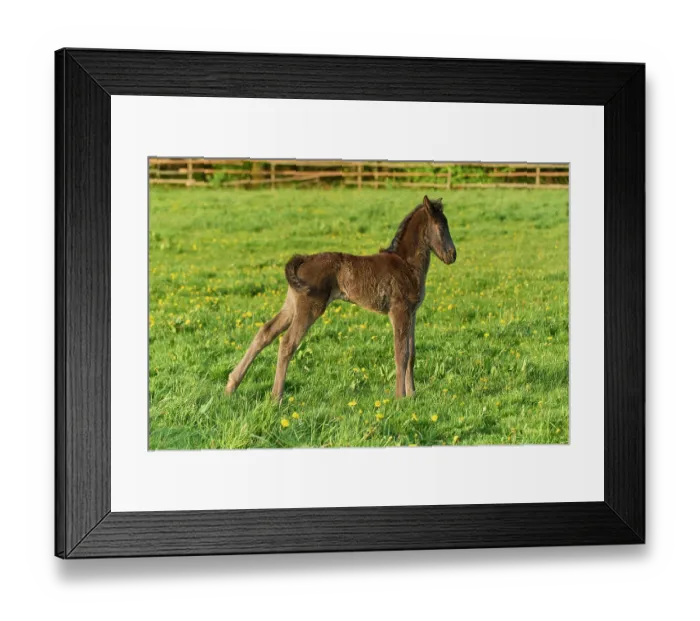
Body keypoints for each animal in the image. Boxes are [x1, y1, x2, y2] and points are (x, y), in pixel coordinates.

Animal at [225, 195, 457, 401]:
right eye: (440, 226)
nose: (452, 255)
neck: (405, 264)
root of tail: (303, 259)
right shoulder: (398, 311)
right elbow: (401, 353)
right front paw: (400, 398)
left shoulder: (412, 313)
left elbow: (411, 354)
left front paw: (412, 395)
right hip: (310, 307)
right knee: (287, 343)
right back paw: (276, 396)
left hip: (291, 304)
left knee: (266, 332)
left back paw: (232, 385)